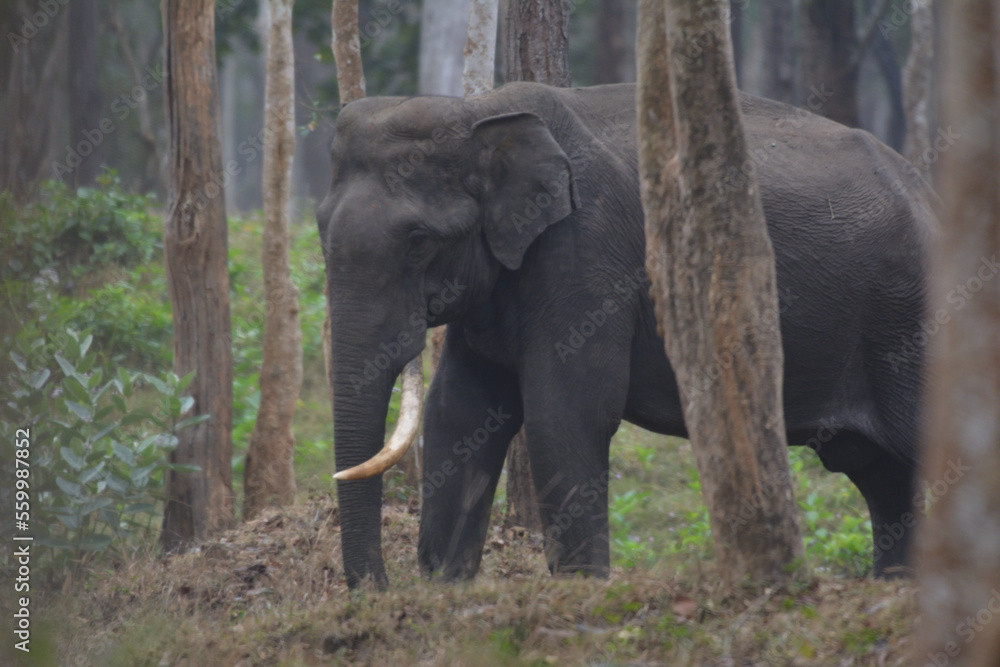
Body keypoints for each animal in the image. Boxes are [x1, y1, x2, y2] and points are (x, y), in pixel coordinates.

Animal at [316, 81, 936, 589]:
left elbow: (566, 412)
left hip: (911, 323)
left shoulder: (587, 256)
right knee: (883, 477)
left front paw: (580, 591)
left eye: (419, 241)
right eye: (321, 231)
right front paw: (445, 591)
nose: (378, 589)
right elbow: (462, 412)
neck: (482, 110)